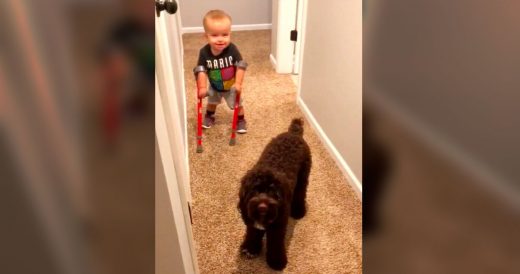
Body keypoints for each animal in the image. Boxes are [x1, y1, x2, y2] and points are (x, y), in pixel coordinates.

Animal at [238, 117, 310, 270]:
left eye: (273, 192)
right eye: (255, 190)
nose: (262, 207)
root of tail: (294, 132)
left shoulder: (278, 226)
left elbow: (275, 244)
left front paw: (277, 262)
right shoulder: (252, 222)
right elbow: (252, 234)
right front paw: (250, 249)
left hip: (303, 176)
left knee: (300, 193)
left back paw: (298, 212)